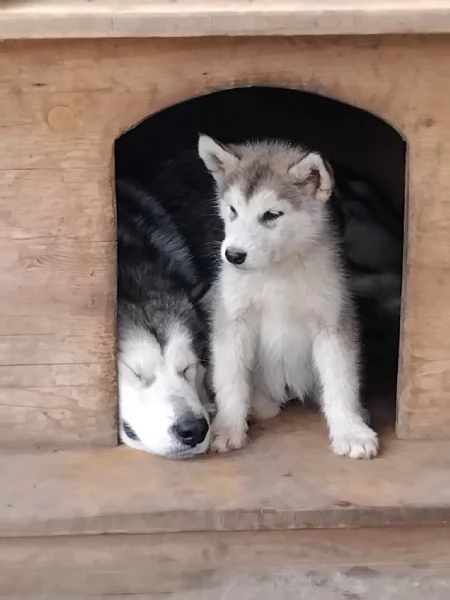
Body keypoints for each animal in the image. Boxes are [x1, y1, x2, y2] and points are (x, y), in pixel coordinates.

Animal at [199, 136, 378, 460]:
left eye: (271, 215)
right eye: (232, 210)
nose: (233, 255)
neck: (276, 274)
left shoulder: (332, 323)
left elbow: (341, 382)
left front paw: (350, 431)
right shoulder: (232, 321)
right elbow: (231, 379)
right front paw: (228, 428)